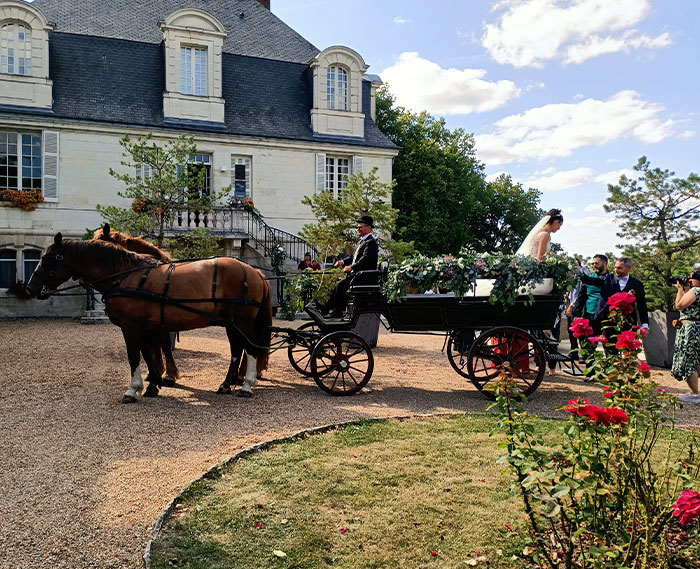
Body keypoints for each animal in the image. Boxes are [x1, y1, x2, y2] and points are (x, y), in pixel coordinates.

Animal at [28, 233, 272, 402]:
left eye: (49, 259)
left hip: (242, 320)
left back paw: (247, 385)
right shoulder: (146, 327)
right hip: (232, 323)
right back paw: (227, 384)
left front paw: (134, 389)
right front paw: (153, 383)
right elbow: (148, 355)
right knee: (237, 349)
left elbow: (135, 356)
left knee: (251, 348)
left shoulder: (131, 326)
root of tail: (255, 271)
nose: (30, 288)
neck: (126, 275)